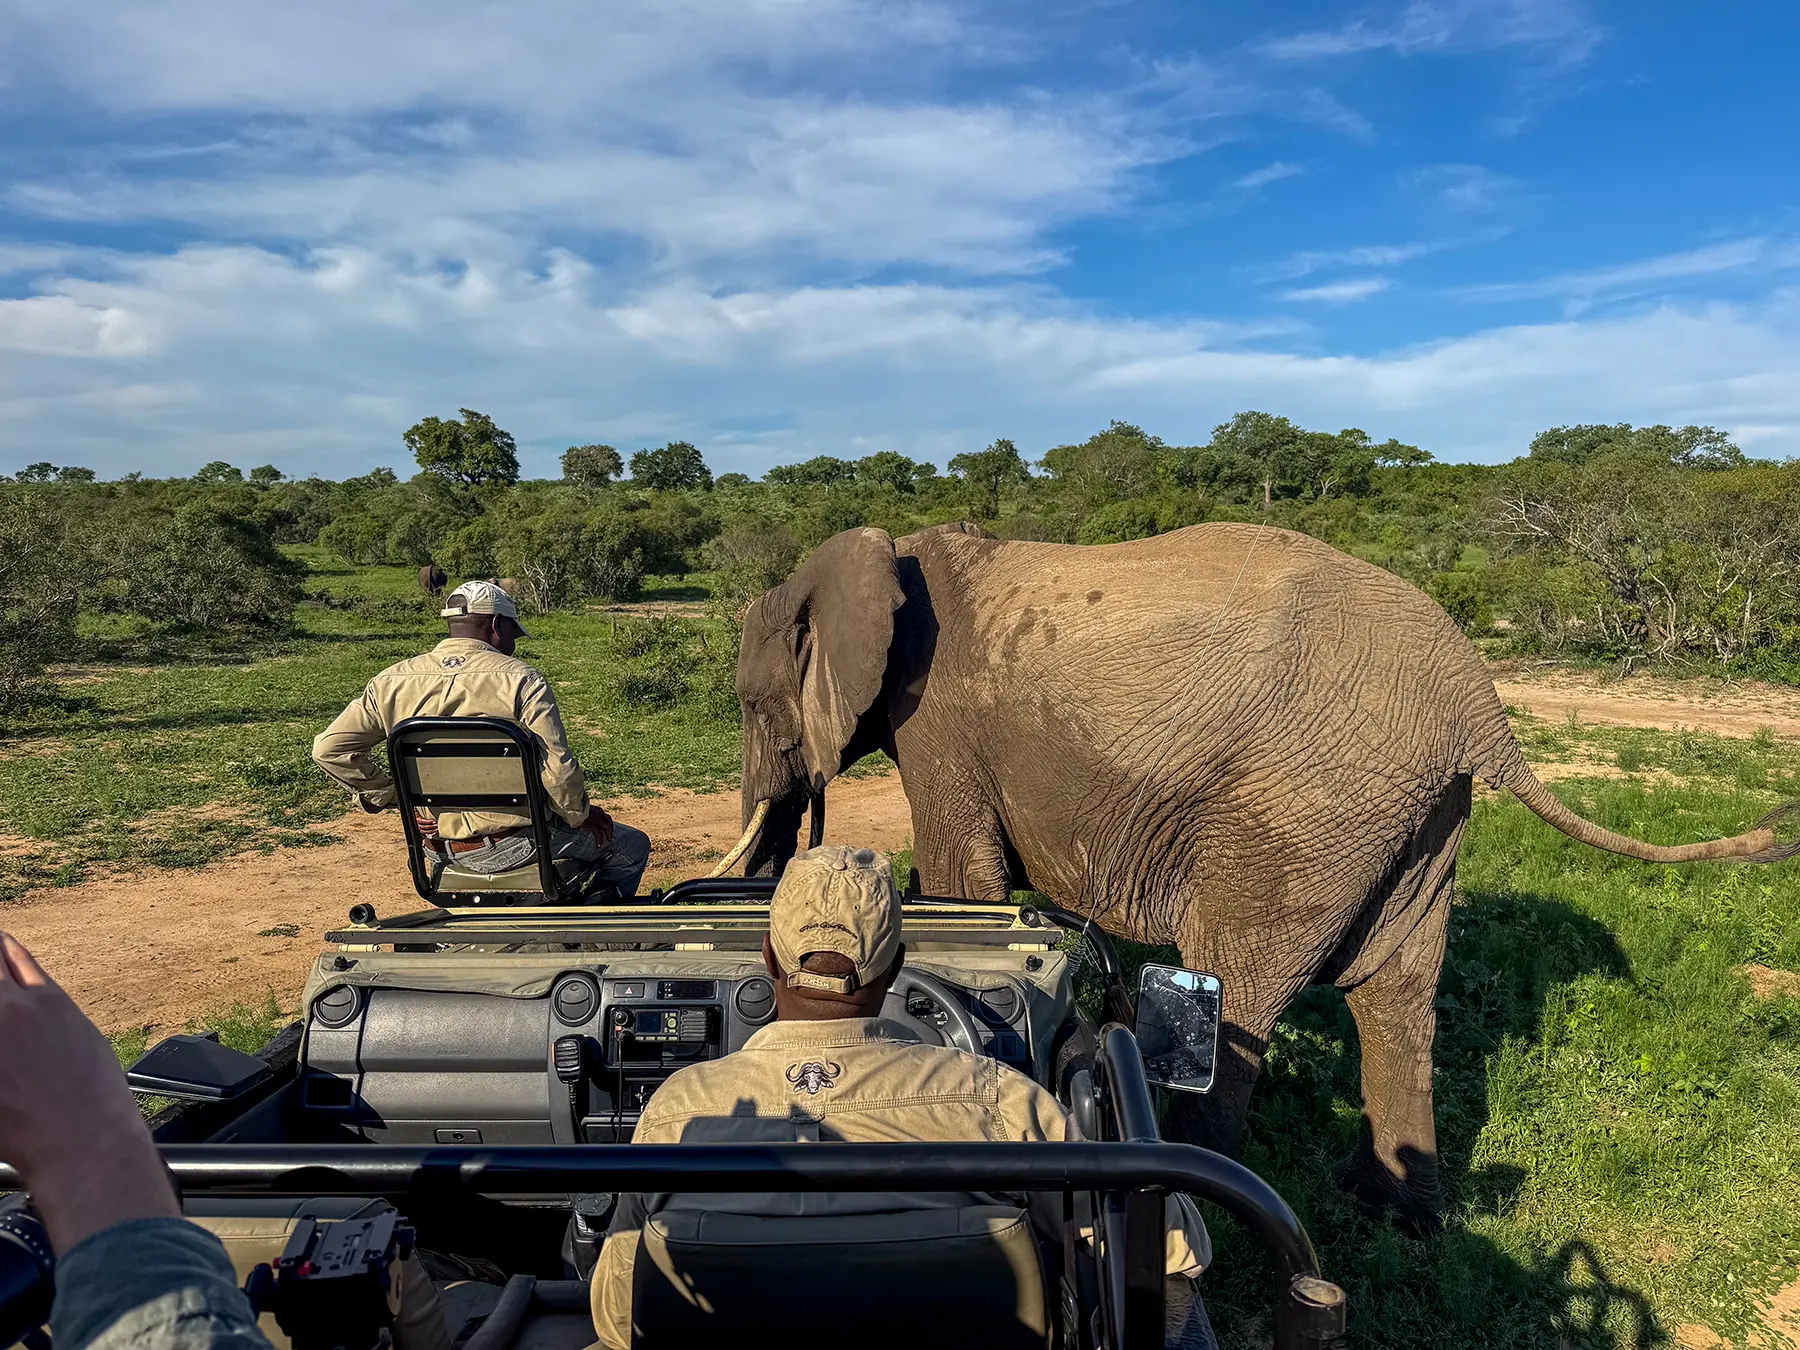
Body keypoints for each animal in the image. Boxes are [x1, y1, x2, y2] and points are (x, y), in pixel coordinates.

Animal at [718, 521, 1798, 1223]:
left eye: (749, 704)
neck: (886, 553)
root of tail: (1479, 710)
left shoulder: (941, 722)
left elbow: (960, 876)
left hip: (1302, 816)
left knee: (1235, 979)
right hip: (1414, 820)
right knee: (1398, 994)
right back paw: (1393, 1214)